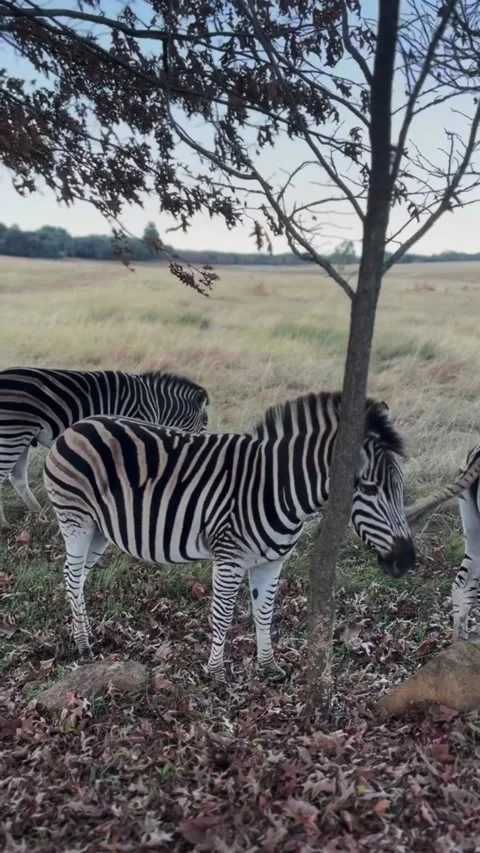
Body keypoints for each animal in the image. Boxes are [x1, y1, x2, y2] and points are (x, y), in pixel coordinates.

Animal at [0, 367, 210, 529]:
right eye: (206, 423)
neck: (156, 404)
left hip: (24, 437)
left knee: (17, 478)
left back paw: (39, 514)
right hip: (12, 435)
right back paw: (4, 525)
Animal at [44, 391, 415, 683]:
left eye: (399, 486)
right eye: (369, 488)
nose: (408, 560)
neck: (276, 487)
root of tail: (78, 425)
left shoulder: (271, 562)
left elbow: (264, 613)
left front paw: (269, 666)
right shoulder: (229, 558)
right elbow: (222, 614)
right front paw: (217, 673)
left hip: (99, 529)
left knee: (79, 578)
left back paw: (84, 633)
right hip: (76, 518)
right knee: (71, 576)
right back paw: (83, 645)